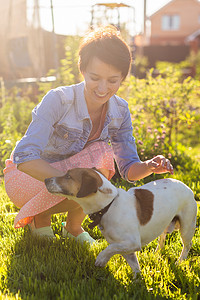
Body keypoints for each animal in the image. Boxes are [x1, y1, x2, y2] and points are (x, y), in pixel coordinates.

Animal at [44, 168, 197, 276]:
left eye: (68, 176)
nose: (45, 179)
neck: (109, 205)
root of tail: (185, 185)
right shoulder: (126, 247)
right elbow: (134, 266)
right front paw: (137, 283)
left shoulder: (132, 242)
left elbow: (109, 249)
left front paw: (101, 259)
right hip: (165, 224)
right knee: (162, 237)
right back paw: (157, 251)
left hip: (187, 227)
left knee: (187, 245)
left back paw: (180, 261)